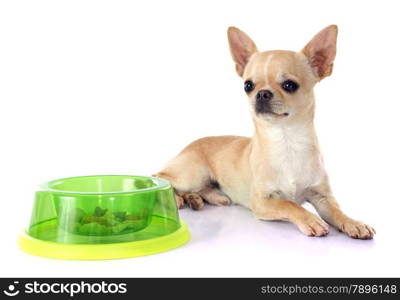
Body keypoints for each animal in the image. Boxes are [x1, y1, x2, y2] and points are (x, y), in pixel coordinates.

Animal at [155, 25, 376, 239]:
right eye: (248, 86)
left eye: (289, 85)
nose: (262, 93)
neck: (287, 141)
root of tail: (188, 146)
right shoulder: (262, 202)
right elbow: (290, 204)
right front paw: (311, 220)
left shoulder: (322, 197)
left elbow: (337, 211)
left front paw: (354, 223)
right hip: (192, 174)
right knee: (161, 177)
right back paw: (176, 198)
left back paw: (197, 198)